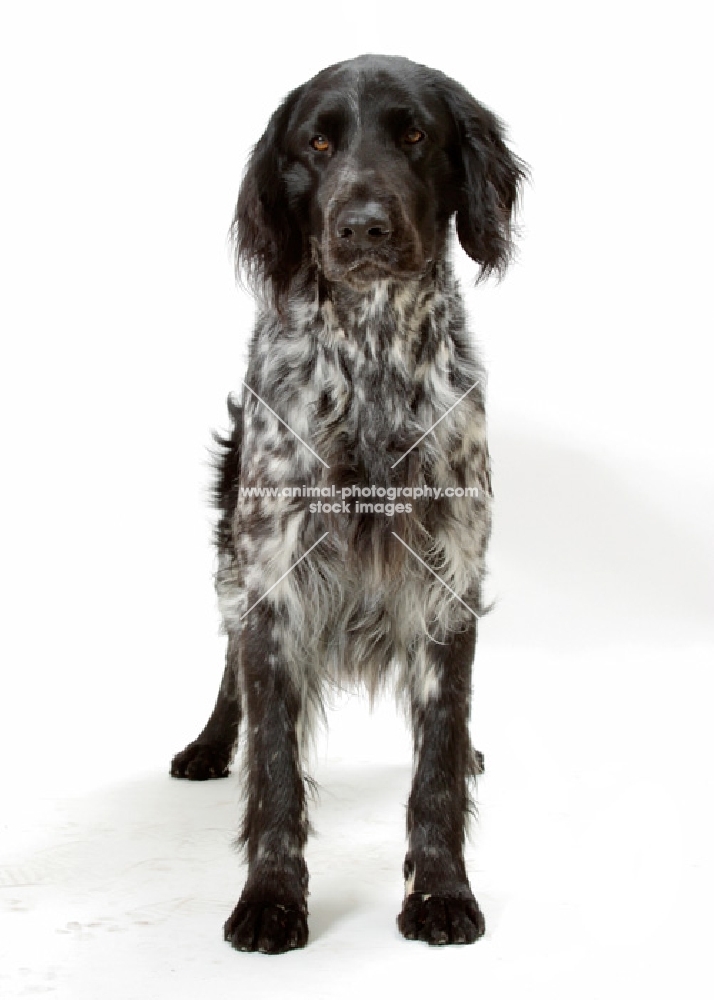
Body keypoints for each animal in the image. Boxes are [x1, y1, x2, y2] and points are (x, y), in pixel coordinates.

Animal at [172, 52, 524, 952]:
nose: (363, 226)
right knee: (230, 669)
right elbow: (274, 770)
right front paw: (270, 898)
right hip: (230, 556)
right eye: (319, 142)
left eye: (415, 134)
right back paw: (208, 744)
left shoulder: (447, 581)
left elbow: (436, 768)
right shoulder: (273, 580)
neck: (372, 360)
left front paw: (441, 891)